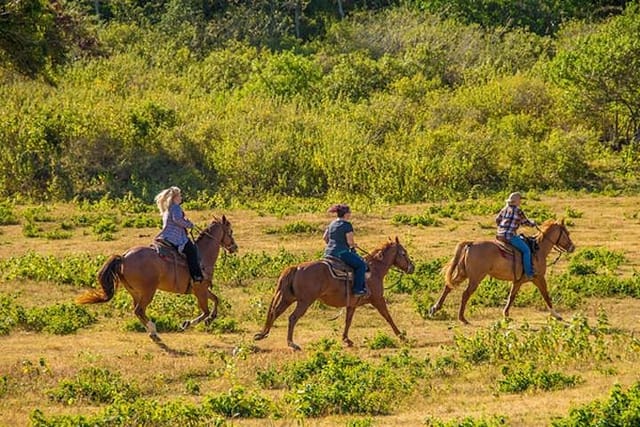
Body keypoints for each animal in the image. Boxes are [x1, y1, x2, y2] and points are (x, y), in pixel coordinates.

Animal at [77, 214, 238, 342]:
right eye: (230, 231)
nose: (235, 247)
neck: (202, 256)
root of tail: (123, 257)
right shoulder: (200, 290)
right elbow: (205, 311)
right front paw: (187, 324)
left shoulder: (201, 290)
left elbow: (216, 300)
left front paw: (211, 318)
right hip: (149, 291)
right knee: (139, 310)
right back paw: (154, 331)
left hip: (135, 292)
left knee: (137, 310)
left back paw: (151, 332)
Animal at [255, 237, 416, 352]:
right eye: (404, 253)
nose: (412, 267)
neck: (374, 270)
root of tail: (297, 267)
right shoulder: (378, 299)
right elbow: (388, 317)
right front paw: (402, 336)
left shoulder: (352, 304)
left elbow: (348, 321)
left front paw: (346, 340)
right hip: (304, 301)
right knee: (292, 318)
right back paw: (292, 344)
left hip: (288, 298)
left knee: (275, 313)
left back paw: (262, 335)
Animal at [430, 221, 576, 324]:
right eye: (567, 233)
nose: (572, 247)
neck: (537, 250)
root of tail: (471, 244)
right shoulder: (538, 278)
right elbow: (546, 295)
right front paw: (556, 315)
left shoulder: (518, 281)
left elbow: (511, 296)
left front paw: (505, 314)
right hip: (475, 278)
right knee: (465, 294)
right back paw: (462, 318)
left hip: (463, 273)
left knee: (448, 286)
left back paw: (434, 309)